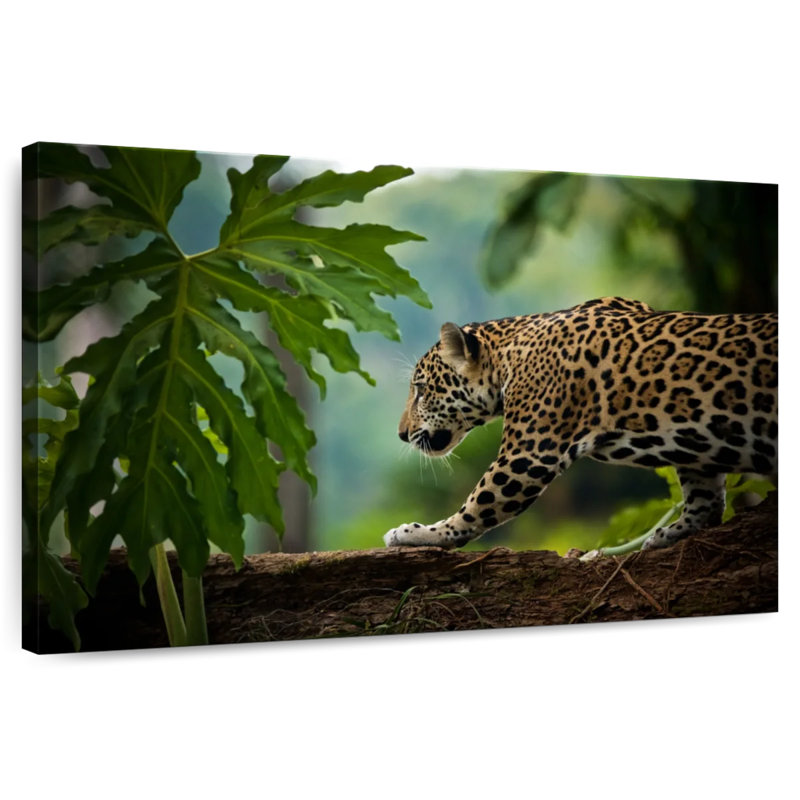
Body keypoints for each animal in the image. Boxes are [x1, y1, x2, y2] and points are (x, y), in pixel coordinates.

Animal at [383, 297, 777, 551]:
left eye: (421, 390)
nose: (401, 434)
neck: (509, 355)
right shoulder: (696, 452)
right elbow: (704, 497)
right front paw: (674, 532)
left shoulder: (527, 455)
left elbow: (477, 506)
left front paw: (419, 533)